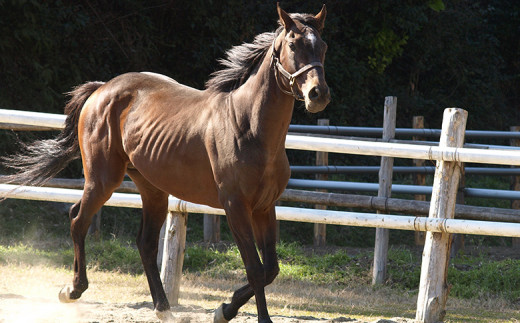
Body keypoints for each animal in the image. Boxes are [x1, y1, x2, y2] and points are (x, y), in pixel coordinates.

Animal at [2, 3, 330, 323]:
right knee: (77, 220)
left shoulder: (264, 207)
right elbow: (256, 269)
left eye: (323, 45)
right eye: (292, 44)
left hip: (153, 189)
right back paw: (72, 290)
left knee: (145, 242)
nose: (318, 94)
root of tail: (102, 89)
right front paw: (243, 315)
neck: (249, 125)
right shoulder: (236, 207)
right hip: (102, 180)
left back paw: (162, 307)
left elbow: (270, 269)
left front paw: (223, 309)